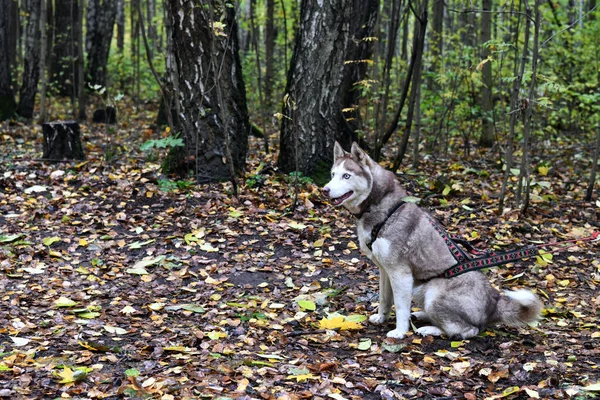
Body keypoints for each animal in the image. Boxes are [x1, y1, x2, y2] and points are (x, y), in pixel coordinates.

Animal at [324, 142, 544, 340]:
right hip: (419, 288)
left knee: (466, 331)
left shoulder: (400, 273)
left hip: (433, 292)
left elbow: (401, 307)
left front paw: (400, 332)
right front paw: (381, 317)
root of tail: (493, 302)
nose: (324, 190)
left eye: (346, 175)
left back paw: (431, 329)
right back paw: (422, 316)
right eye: (333, 174)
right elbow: (385, 299)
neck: (383, 209)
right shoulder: (385, 270)